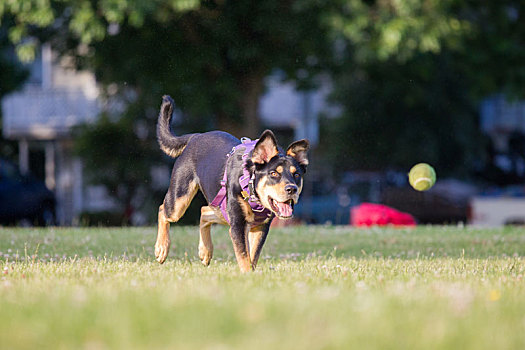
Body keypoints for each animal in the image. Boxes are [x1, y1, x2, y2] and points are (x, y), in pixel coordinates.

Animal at [154, 95, 308, 270]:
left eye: (297, 175)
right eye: (274, 173)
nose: (291, 189)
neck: (251, 188)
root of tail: (196, 136)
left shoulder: (260, 228)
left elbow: (252, 256)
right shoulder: (238, 225)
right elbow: (244, 257)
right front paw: (247, 274)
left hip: (221, 209)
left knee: (203, 212)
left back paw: (205, 251)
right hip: (179, 201)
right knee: (163, 210)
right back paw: (161, 248)